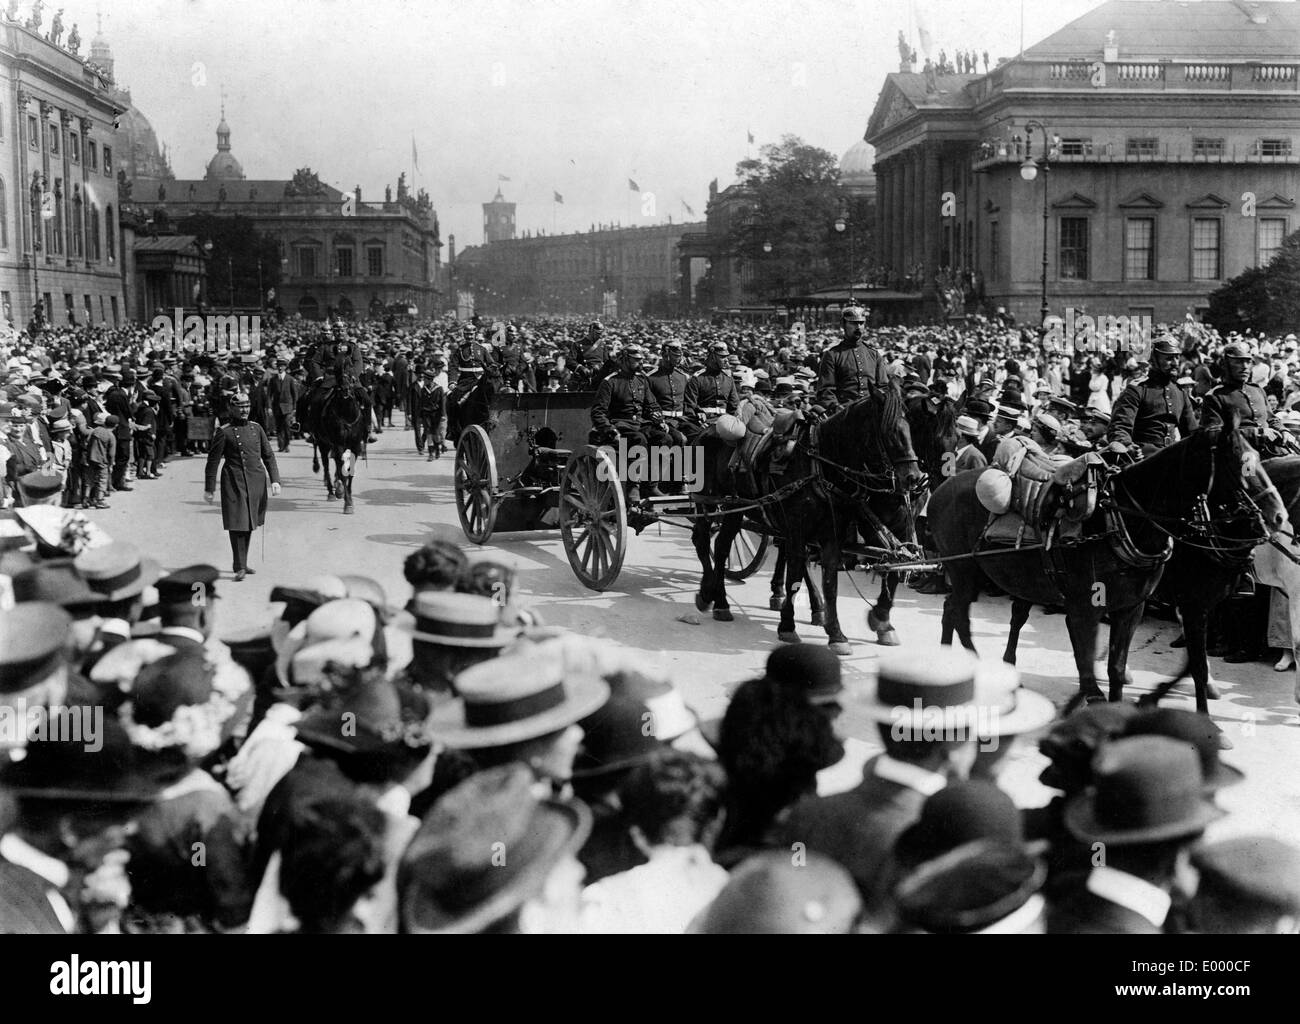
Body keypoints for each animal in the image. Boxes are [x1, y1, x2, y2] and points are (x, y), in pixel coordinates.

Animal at [691, 384, 925, 654]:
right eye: (890, 432)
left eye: (911, 429)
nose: (914, 478)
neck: (819, 464)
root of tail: (707, 429)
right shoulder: (797, 527)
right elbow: (794, 574)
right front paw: (787, 626)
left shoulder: (833, 532)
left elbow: (833, 580)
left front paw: (838, 633)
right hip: (716, 504)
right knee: (708, 543)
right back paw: (713, 597)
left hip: (736, 509)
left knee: (720, 546)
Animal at [930, 415, 1284, 712]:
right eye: (1241, 464)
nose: (1278, 515)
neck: (1123, 519)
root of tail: (943, 488)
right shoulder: (1096, 607)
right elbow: (1094, 662)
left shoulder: (1136, 607)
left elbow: (1119, 667)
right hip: (964, 570)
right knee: (959, 612)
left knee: (967, 609)